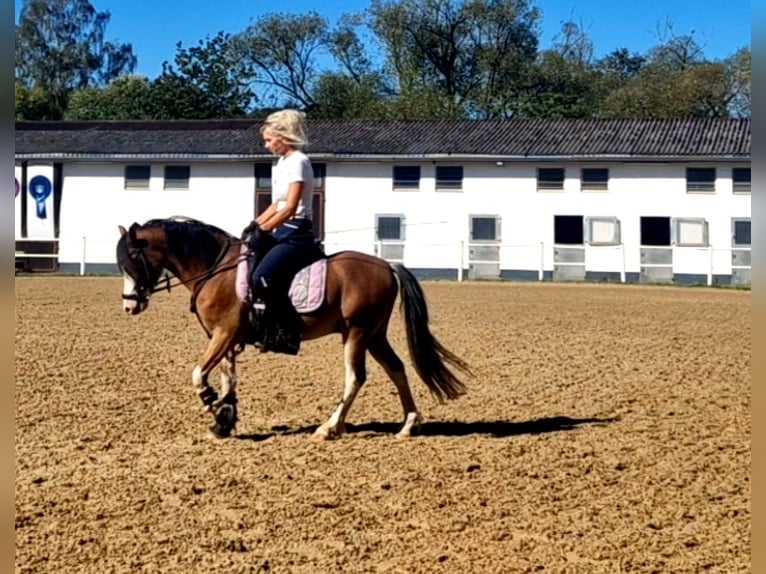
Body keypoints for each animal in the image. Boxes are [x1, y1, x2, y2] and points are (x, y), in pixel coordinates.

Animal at [115, 217, 472, 440]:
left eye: (132, 259)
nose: (129, 306)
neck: (215, 269)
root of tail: (386, 265)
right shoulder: (227, 338)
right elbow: (229, 378)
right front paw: (224, 419)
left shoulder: (223, 333)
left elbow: (198, 374)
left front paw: (211, 402)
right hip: (374, 334)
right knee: (396, 368)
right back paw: (409, 424)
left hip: (357, 332)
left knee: (356, 377)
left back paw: (329, 428)